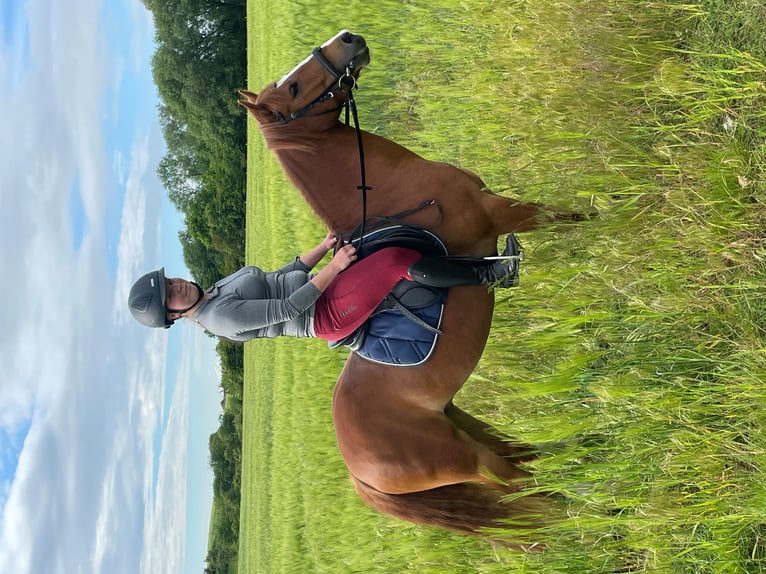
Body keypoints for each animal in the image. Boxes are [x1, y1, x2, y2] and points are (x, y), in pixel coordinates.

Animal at [240, 29, 576, 548]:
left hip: (458, 422)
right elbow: (568, 216)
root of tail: (360, 474)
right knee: (517, 482)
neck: (397, 192)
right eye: (293, 88)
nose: (348, 38)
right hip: (466, 459)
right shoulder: (499, 212)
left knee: (523, 462)